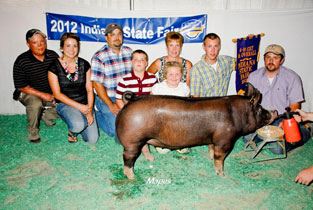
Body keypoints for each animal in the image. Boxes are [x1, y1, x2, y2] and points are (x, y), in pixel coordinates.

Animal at [116, 83, 276, 180]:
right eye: (260, 109)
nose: (274, 111)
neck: (237, 115)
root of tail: (130, 100)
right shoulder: (225, 141)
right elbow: (219, 158)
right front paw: (222, 175)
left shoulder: (214, 138)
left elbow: (211, 149)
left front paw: (210, 158)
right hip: (132, 141)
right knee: (128, 158)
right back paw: (133, 177)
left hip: (141, 138)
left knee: (144, 148)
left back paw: (152, 160)